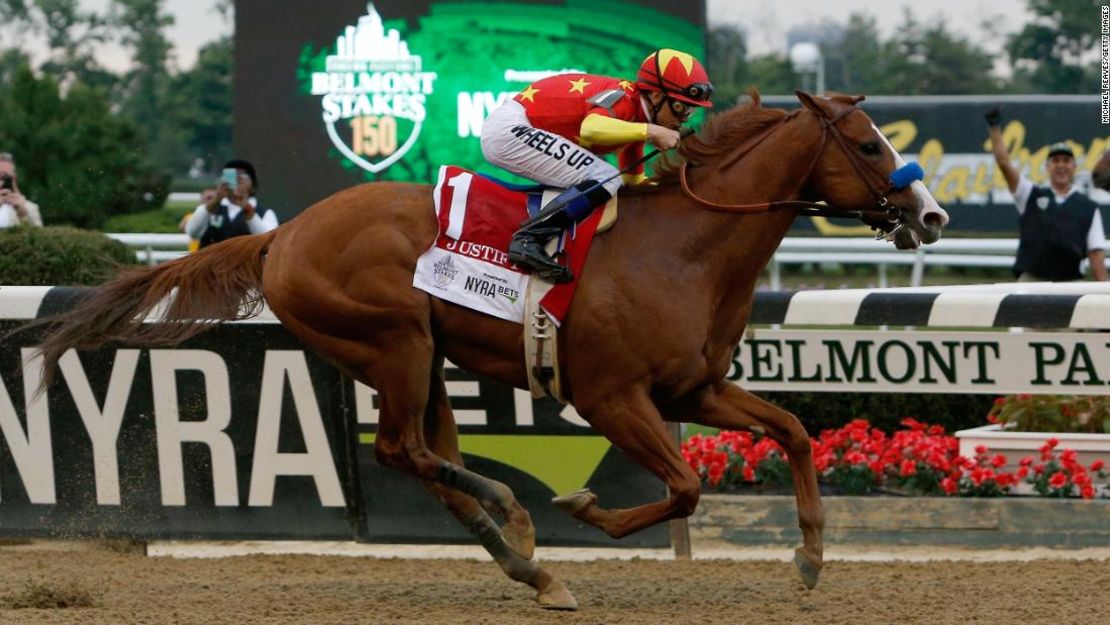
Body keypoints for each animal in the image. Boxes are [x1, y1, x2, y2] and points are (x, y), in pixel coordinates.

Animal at [32, 92, 945, 612]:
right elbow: (684, 486)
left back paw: (523, 559)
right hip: (394, 338)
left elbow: (791, 431)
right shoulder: (613, 396)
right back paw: (518, 520)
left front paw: (811, 556)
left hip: (423, 354)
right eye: (870, 145)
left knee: (423, 455)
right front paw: (584, 508)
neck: (683, 249)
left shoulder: (693, 390)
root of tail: (280, 235)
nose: (930, 216)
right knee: (401, 449)